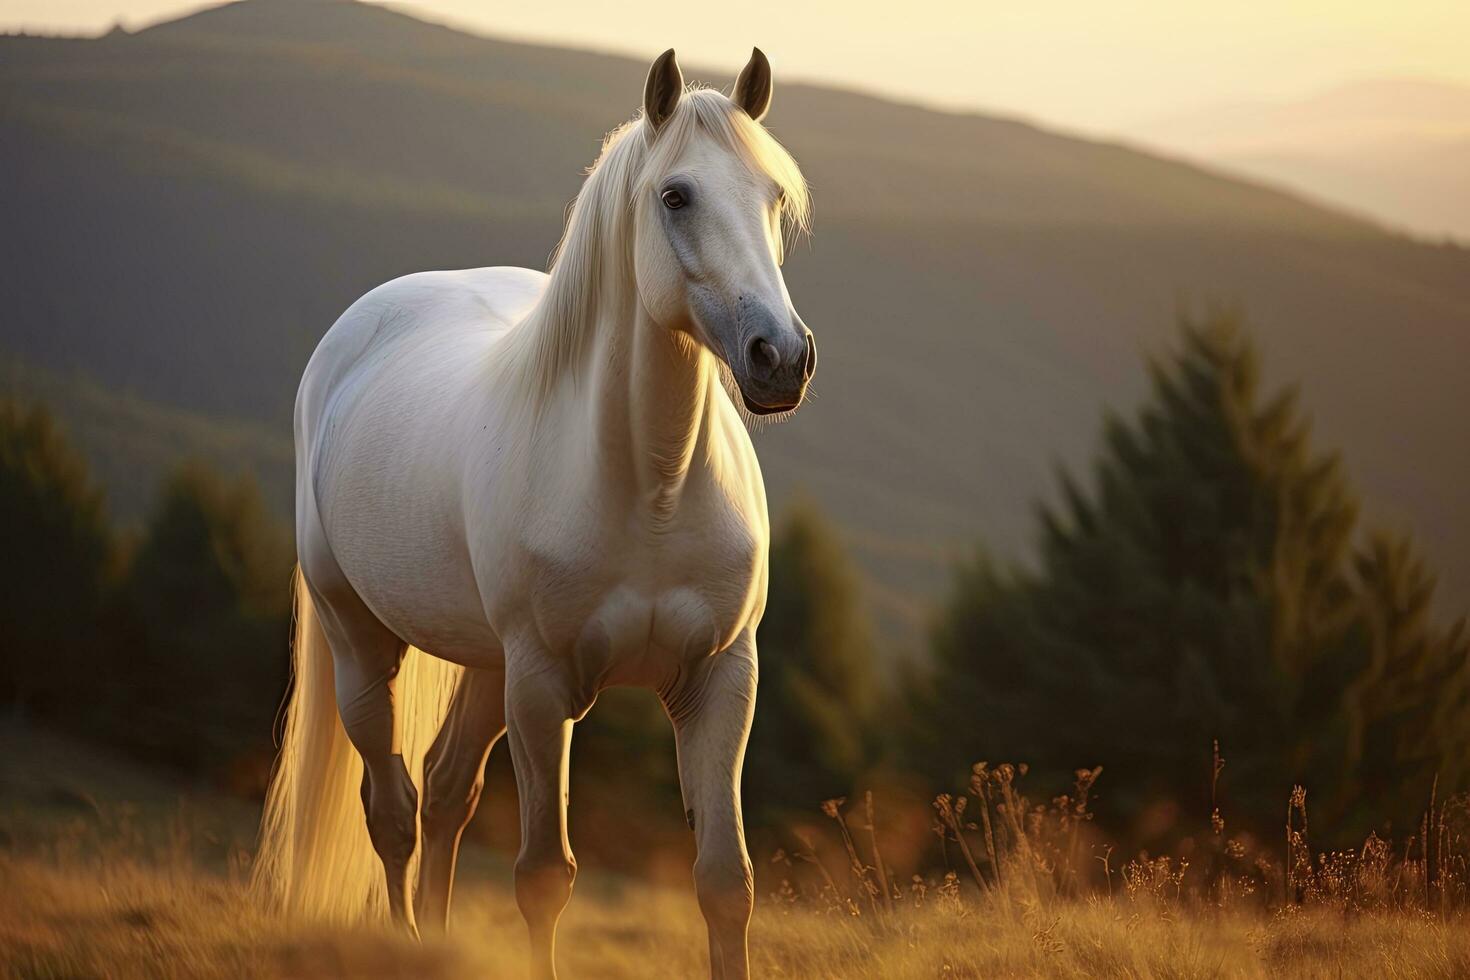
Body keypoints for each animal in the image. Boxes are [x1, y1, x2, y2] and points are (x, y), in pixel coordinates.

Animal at [258, 47, 823, 980]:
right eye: (677, 196)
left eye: (775, 197)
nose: (781, 358)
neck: (652, 491)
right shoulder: (544, 684)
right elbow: (543, 877)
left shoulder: (721, 680)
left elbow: (724, 882)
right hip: (364, 644)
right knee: (394, 807)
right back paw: (405, 938)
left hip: (489, 667)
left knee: (445, 792)